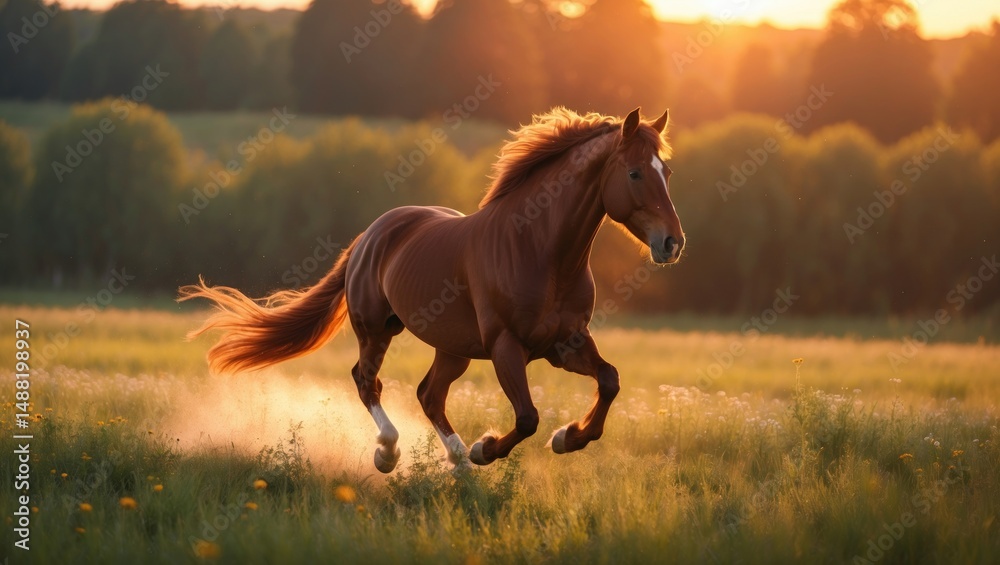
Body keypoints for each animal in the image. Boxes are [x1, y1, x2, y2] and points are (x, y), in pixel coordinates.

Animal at [178, 106, 685, 473]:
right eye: (636, 173)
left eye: (667, 173)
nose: (672, 242)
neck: (540, 250)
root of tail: (370, 234)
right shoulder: (506, 347)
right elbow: (527, 417)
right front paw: (487, 449)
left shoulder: (565, 344)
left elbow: (610, 381)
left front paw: (567, 439)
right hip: (376, 329)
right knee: (368, 382)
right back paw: (392, 454)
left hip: (452, 348)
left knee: (428, 395)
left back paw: (457, 465)